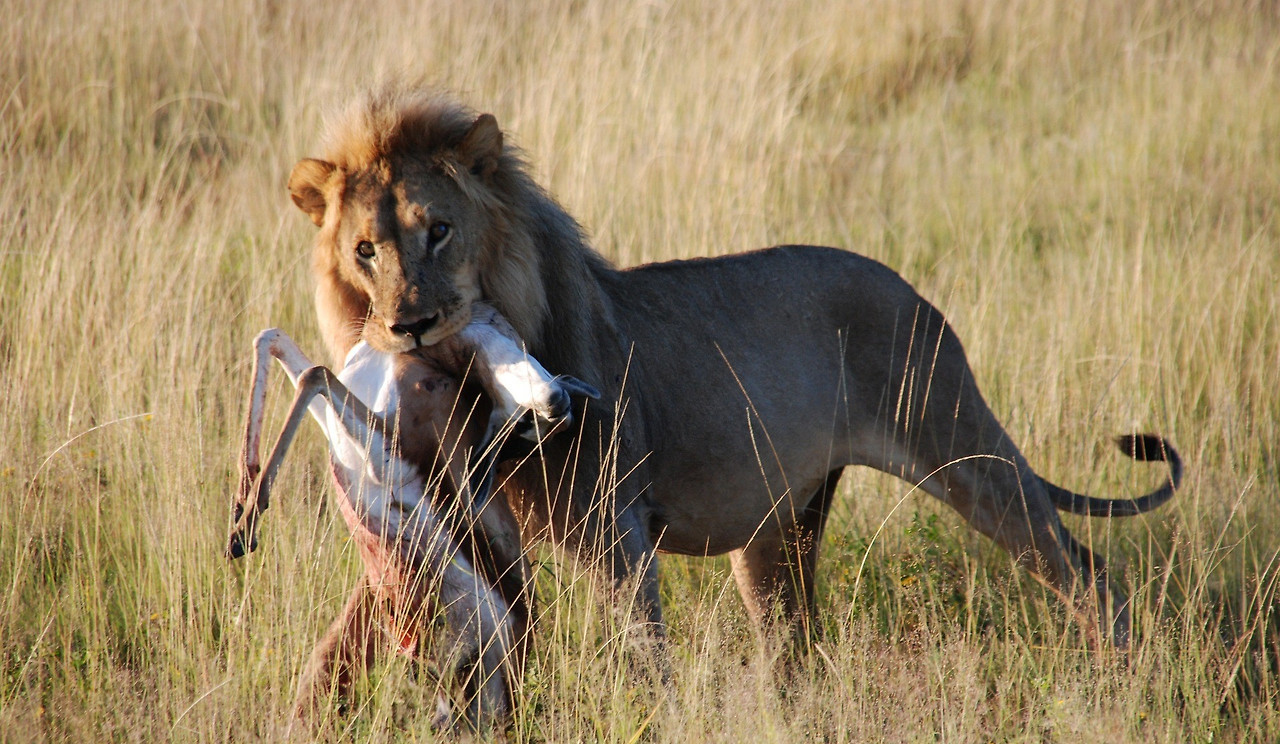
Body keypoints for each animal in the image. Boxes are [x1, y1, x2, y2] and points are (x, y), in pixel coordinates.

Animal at [286, 85, 1181, 660]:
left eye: (438, 229)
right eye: (365, 250)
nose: (407, 323)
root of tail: (914, 292)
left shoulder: (616, 534)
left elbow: (640, 660)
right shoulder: (468, 527)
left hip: (962, 447)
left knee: (1085, 569)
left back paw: (1123, 677)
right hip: (781, 530)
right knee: (795, 646)